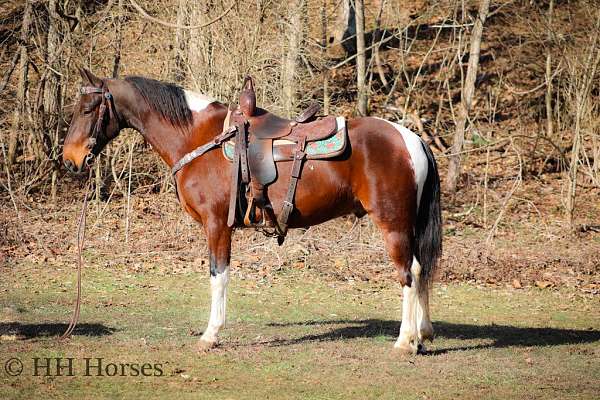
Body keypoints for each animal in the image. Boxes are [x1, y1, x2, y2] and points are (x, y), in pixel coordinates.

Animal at [63, 69, 442, 354]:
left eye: (87, 109)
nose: (71, 159)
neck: (198, 137)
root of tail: (413, 140)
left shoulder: (217, 225)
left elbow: (218, 275)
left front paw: (211, 334)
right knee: (421, 269)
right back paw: (422, 334)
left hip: (393, 225)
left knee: (408, 274)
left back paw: (405, 341)